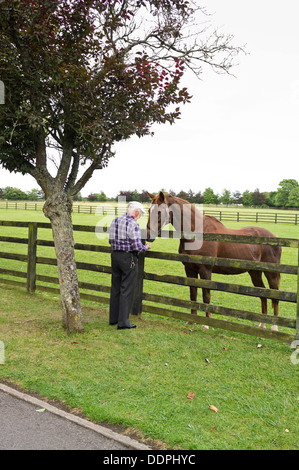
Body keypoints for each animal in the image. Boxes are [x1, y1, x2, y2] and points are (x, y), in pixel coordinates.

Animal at [146, 193, 282, 328]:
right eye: (148, 210)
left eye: (159, 211)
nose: (148, 235)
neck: (197, 232)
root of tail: (275, 237)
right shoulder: (189, 269)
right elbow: (193, 294)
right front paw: (191, 320)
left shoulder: (205, 270)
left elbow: (206, 295)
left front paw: (206, 324)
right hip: (255, 273)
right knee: (263, 294)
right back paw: (262, 324)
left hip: (271, 274)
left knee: (275, 296)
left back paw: (274, 327)